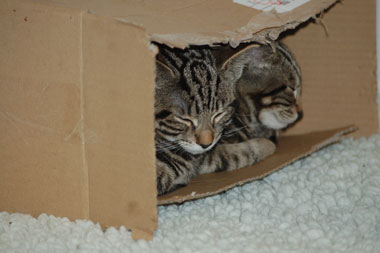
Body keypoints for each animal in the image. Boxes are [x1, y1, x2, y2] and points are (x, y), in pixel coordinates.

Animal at [153, 42, 302, 196]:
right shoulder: (206, 157)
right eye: (292, 89)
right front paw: (267, 145)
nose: (300, 113)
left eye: (219, 114)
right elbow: (238, 154)